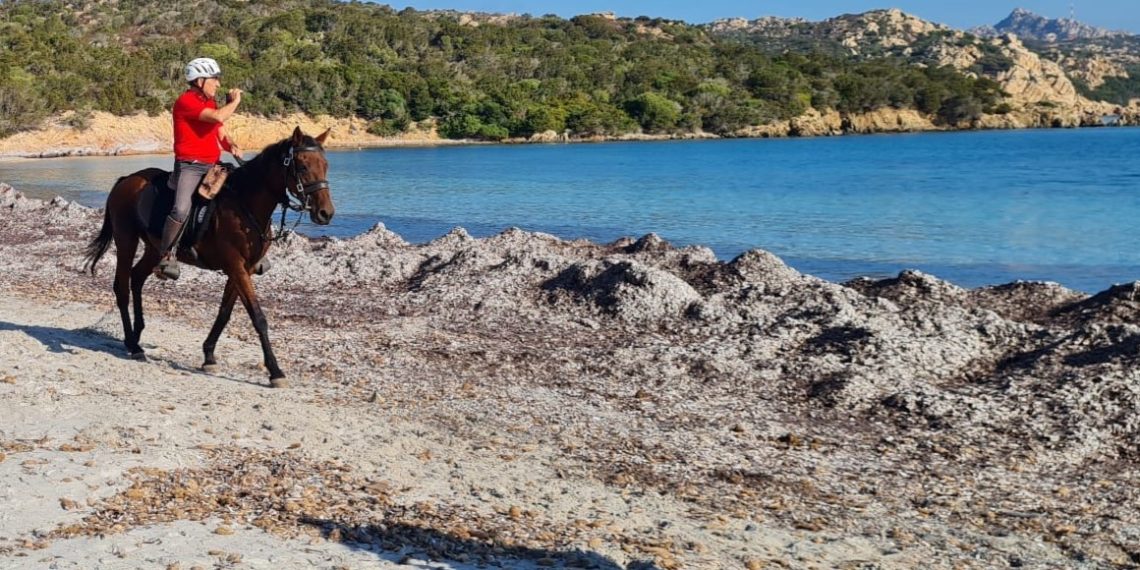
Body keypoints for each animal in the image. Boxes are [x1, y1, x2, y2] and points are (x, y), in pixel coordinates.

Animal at [83, 127, 334, 388]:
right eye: (302, 166)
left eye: (325, 165)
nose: (325, 213)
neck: (244, 204)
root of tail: (126, 181)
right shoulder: (236, 266)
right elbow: (258, 317)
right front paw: (275, 371)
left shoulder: (242, 269)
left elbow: (224, 313)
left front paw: (209, 355)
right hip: (126, 240)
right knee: (122, 287)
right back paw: (133, 345)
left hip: (154, 249)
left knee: (137, 278)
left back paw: (136, 335)